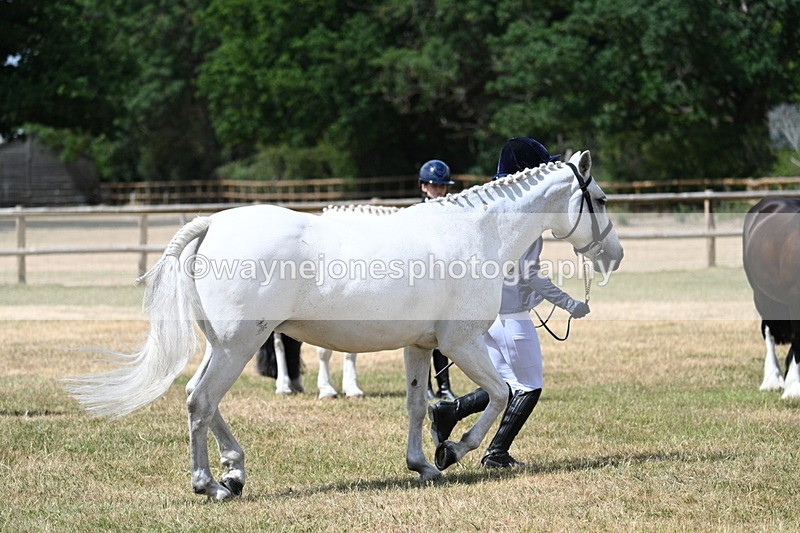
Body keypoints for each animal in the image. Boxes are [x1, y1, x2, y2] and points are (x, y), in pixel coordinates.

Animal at [256, 204, 401, 398]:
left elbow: (350, 351)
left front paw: (352, 388)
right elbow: (324, 352)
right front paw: (327, 389)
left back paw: (296, 384)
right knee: (280, 345)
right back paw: (284, 386)